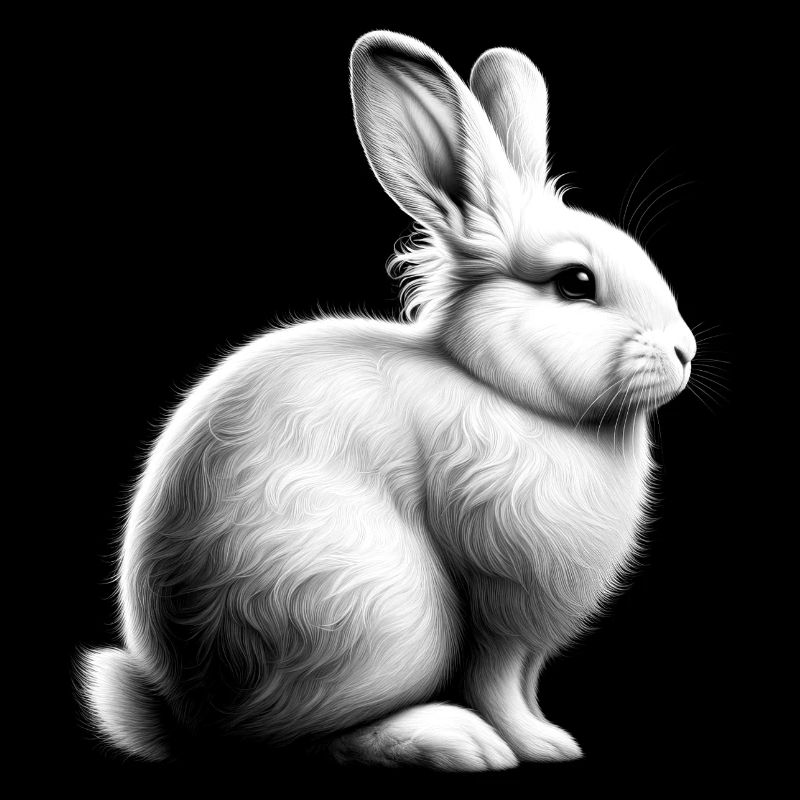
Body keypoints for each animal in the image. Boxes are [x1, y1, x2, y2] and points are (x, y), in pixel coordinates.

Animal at [78, 30, 696, 770]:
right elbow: (497, 683)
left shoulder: (527, 634)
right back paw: (455, 741)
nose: (686, 351)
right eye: (576, 282)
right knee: (302, 739)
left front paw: (551, 740)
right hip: (377, 619)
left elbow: (523, 681)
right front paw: (530, 744)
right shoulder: (499, 601)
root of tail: (185, 715)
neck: (498, 387)